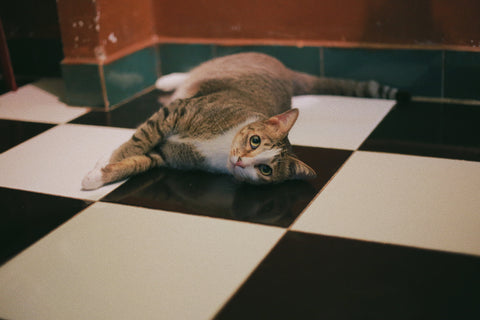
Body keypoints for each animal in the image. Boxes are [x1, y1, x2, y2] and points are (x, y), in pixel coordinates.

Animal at [81, 51, 404, 189]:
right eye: (255, 140)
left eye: (265, 169)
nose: (240, 161)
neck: (221, 148)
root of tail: (288, 74)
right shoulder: (177, 112)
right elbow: (138, 140)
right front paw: (110, 157)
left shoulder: (169, 155)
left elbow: (140, 161)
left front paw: (98, 175)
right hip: (223, 64)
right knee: (193, 73)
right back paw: (167, 79)